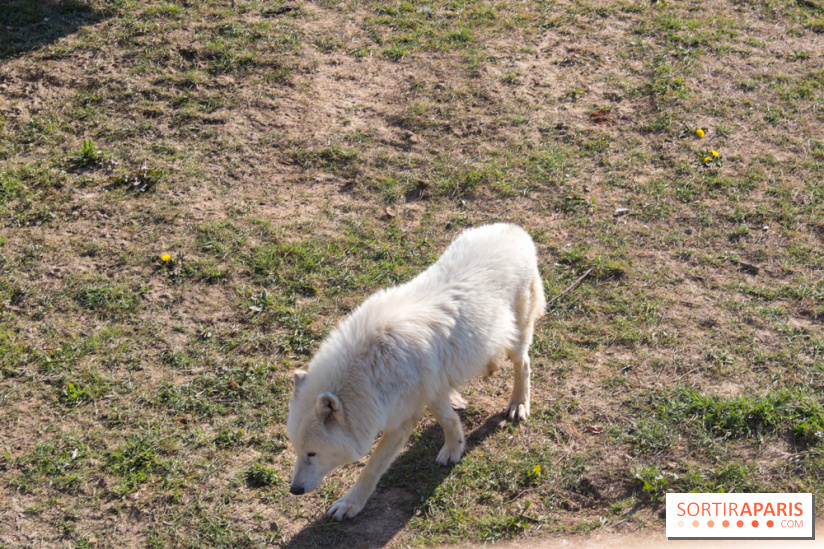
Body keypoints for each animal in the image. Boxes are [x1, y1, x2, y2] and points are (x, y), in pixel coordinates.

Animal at [286, 223, 546, 520]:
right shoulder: (429, 392)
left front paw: (350, 504)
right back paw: (487, 369)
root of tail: (516, 230)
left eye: (312, 454)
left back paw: (518, 404)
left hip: (517, 338)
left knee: (523, 364)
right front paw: (455, 446)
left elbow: (372, 467)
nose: (294, 490)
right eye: (298, 450)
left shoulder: (405, 417)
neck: (371, 372)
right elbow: (449, 418)